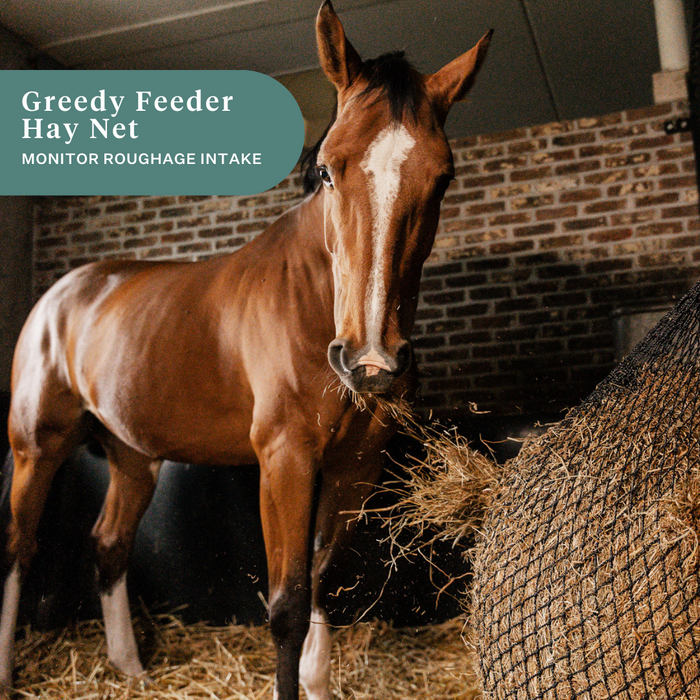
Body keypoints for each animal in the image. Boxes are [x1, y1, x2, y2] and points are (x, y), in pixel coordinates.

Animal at [0, 3, 491, 698]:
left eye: (443, 176)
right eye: (325, 167)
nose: (370, 362)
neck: (310, 299)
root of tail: (64, 293)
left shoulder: (352, 470)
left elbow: (319, 586)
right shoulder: (284, 460)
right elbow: (286, 608)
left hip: (133, 457)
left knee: (109, 543)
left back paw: (129, 667)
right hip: (36, 448)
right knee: (19, 549)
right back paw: (7, 670)